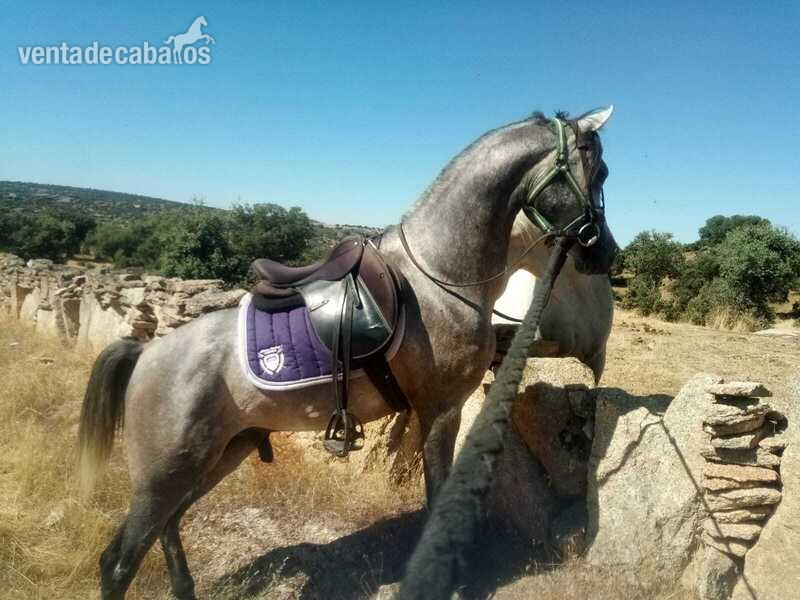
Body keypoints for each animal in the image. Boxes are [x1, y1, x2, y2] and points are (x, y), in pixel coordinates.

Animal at [78, 108, 617, 599]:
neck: (442, 278)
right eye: (600, 172)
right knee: (118, 562)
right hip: (164, 475)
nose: (605, 253)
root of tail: (146, 354)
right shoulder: (442, 411)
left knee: (168, 529)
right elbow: (437, 500)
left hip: (218, 456)